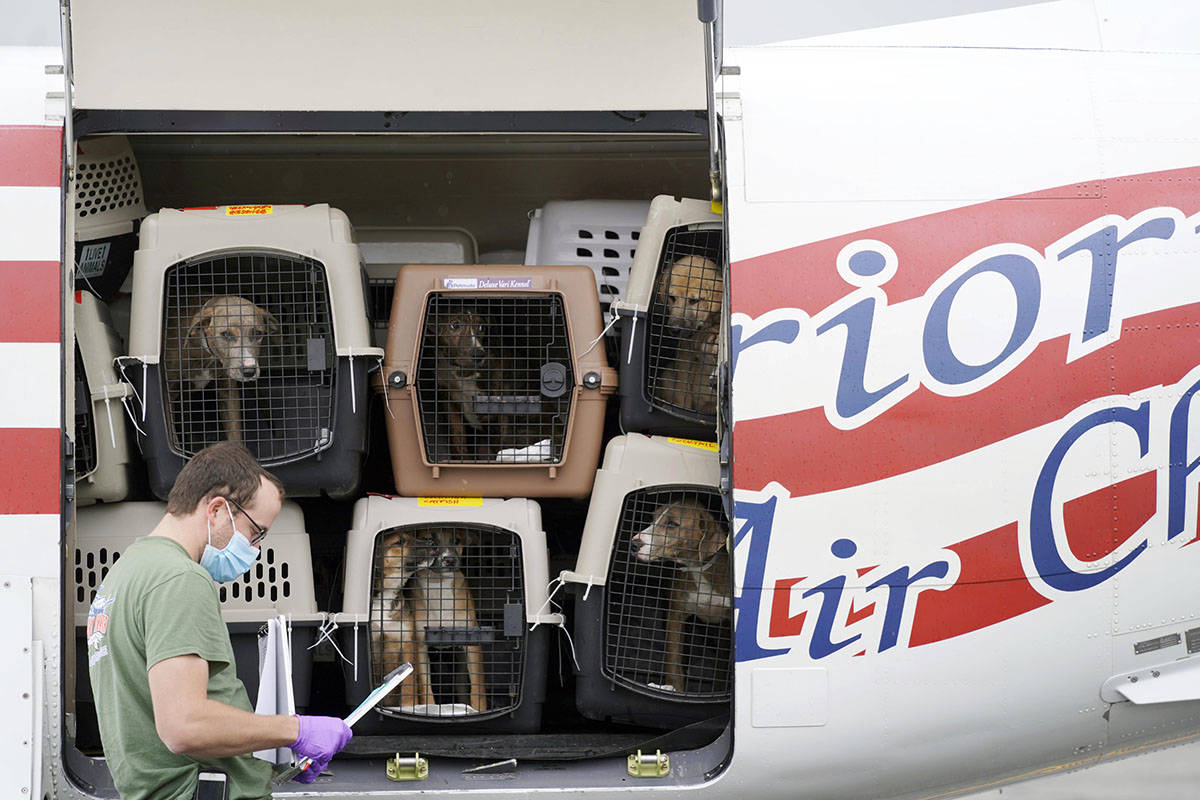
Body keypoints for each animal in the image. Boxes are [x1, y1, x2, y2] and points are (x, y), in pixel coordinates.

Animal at [162, 296, 278, 443]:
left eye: (258, 333)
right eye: (226, 334)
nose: (249, 371)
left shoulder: (228, 394)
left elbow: (235, 433)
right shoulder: (169, 395)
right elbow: (172, 435)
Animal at [628, 496, 729, 690]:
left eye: (672, 524)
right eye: (653, 519)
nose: (634, 544)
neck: (698, 568)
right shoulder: (675, 615)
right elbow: (673, 661)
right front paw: (673, 688)